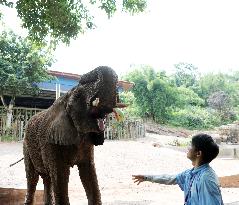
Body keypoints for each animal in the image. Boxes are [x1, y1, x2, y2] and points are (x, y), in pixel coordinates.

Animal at [22, 66, 125, 204]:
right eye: (78, 96)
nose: (85, 77)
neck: (65, 98)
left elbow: (88, 172)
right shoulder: (49, 141)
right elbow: (60, 175)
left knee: (46, 178)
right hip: (26, 147)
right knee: (32, 178)